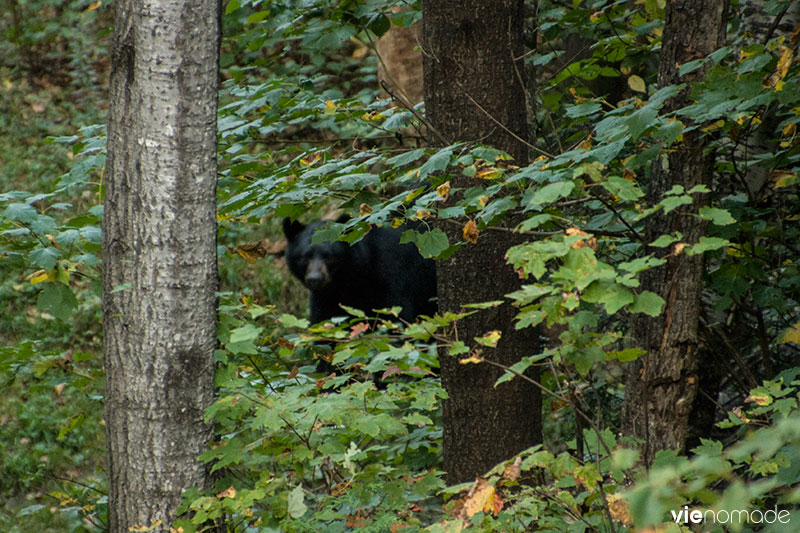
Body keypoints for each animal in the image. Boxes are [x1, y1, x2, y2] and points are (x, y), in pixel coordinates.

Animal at [282, 217, 438, 324]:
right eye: (305, 256)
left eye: (329, 256)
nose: (315, 279)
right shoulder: (325, 298)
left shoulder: (391, 276)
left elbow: (395, 317)